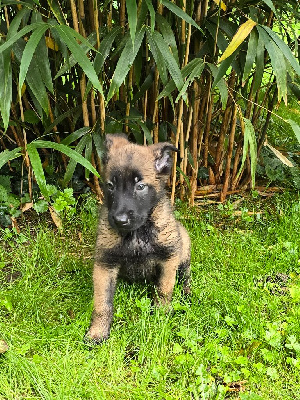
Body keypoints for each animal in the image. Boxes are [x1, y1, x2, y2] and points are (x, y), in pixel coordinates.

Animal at [85, 135, 191, 344]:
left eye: (140, 186)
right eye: (110, 186)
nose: (119, 220)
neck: (136, 234)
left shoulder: (169, 258)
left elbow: (164, 289)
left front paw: (160, 315)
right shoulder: (104, 264)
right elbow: (102, 304)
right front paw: (98, 332)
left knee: (186, 274)